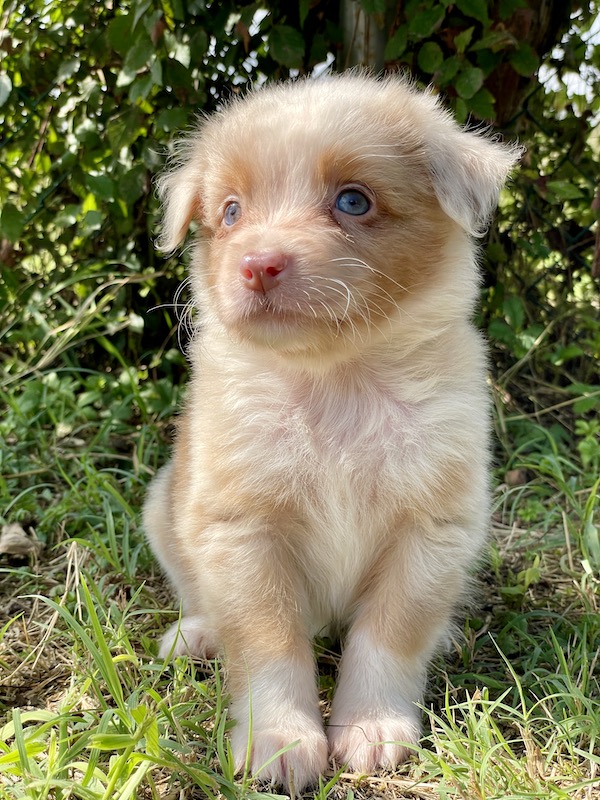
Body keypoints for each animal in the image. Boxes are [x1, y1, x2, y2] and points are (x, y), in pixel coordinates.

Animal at [144, 73, 520, 788]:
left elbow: (389, 635)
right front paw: (282, 742)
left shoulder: (431, 529)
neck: (335, 382)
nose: (257, 264)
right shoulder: (242, 531)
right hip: (163, 508)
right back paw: (198, 634)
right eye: (230, 212)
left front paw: (371, 728)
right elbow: (270, 642)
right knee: (198, 594)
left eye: (353, 200)